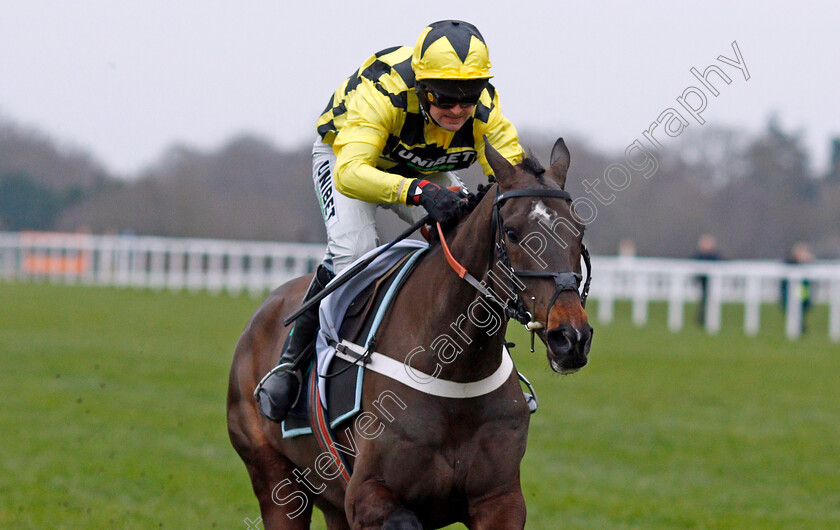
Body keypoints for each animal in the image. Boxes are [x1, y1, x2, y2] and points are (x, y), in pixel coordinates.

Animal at [226, 138, 592, 524]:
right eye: (511, 232)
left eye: (579, 230)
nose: (571, 337)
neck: (455, 373)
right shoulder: (367, 496)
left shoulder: (500, 498)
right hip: (276, 482)